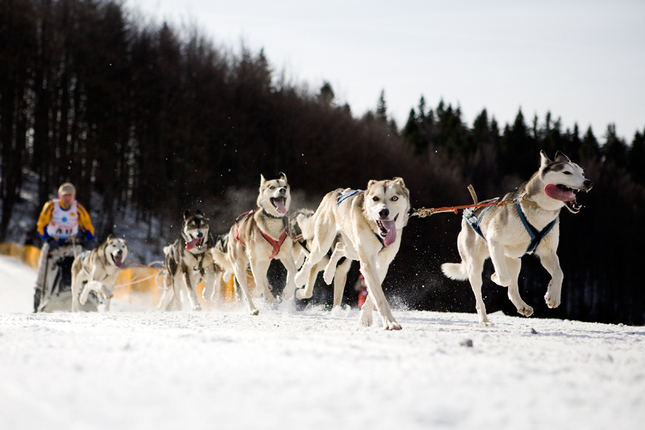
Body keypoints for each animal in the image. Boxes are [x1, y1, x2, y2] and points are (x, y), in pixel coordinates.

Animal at [213, 172, 300, 316]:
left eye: (285, 186)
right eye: (272, 187)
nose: (282, 190)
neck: (273, 223)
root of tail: (233, 227)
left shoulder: (286, 256)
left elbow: (294, 273)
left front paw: (287, 292)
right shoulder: (254, 259)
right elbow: (258, 283)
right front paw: (255, 294)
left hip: (265, 261)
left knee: (263, 277)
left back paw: (268, 294)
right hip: (240, 267)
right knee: (248, 288)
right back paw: (253, 307)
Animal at [294, 177, 410, 330]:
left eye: (394, 198)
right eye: (375, 198)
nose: (383, 212)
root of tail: (336, 192)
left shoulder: (382, 264)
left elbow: (372, 296)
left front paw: (365, 318)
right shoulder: (367, 263)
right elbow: (379, 297)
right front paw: (390, 322)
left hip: (352, 250)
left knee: (338, 248)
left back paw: (328, 273)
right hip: (323, 245)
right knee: (310, 261)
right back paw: (300, 279)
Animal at [442, 153, 592, 324]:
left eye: (582, 173)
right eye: (566, 172)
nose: (588, 182)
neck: (539, 209)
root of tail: (470, 210)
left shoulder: (547, 253)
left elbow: (559, 274)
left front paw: (552, 296)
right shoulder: (495, 242)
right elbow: (503, 278)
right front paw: (495, 277)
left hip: (514, 260)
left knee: (512, 288)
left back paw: (522, 305)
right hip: (475, 265)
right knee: (481, 296)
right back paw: (485, 320)